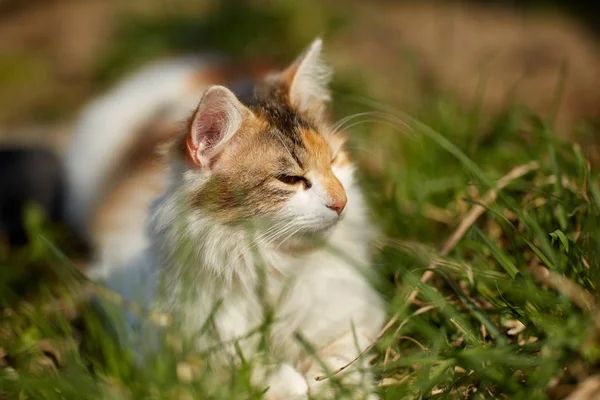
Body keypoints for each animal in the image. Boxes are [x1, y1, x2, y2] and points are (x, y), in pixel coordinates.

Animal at [65, 39, 384, 398]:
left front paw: (338, 388)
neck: (271, 261)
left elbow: (338, 362)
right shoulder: (148, 332)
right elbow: (233, 366)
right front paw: (286, 383)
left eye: (334, 161)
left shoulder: (352, 316)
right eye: (290, 179)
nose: (341, 202)